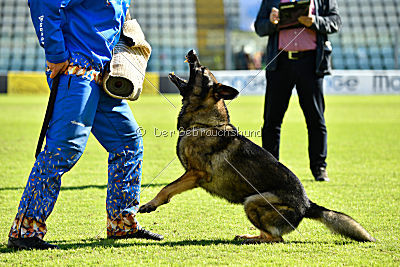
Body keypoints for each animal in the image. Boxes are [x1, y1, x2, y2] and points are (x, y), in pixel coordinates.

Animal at [139, 50, 376, 245]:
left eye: (202, 70)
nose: (192, 52)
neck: (205, 123)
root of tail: (307, 204)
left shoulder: (196, 173)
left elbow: (166, 188)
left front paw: (150, 204)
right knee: (269, 235)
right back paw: (248, 236)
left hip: (253, 201)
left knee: (276, 238)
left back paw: (251, 239)